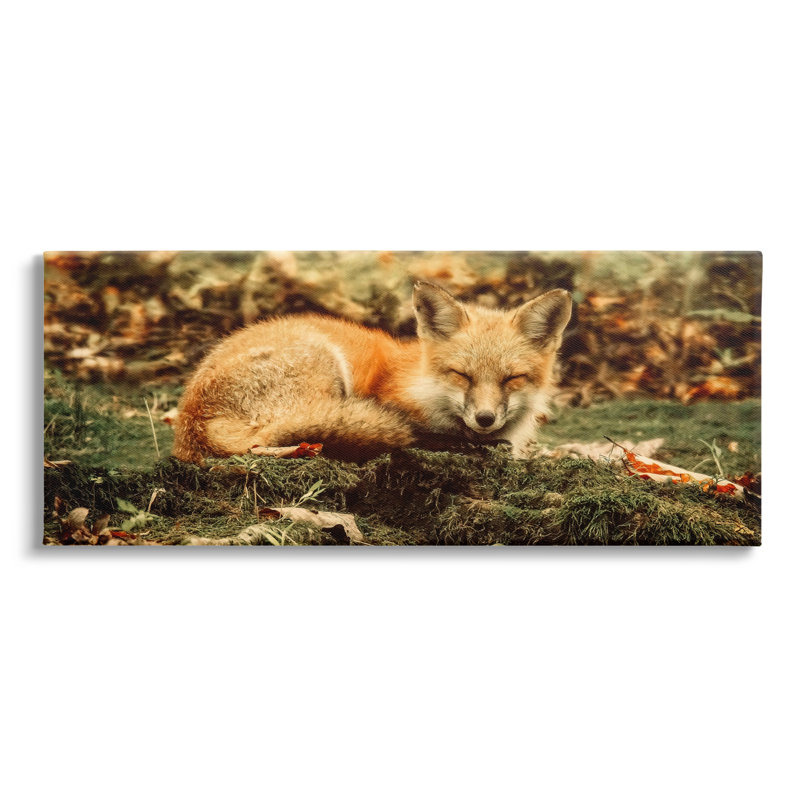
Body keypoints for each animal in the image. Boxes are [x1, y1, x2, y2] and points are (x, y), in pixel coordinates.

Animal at [172, 282, 572, 463]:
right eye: (462, 375)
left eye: (511, 378)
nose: (485, 419)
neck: (423, 387)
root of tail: (191, 421)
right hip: (324, 363)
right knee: (270, 441)